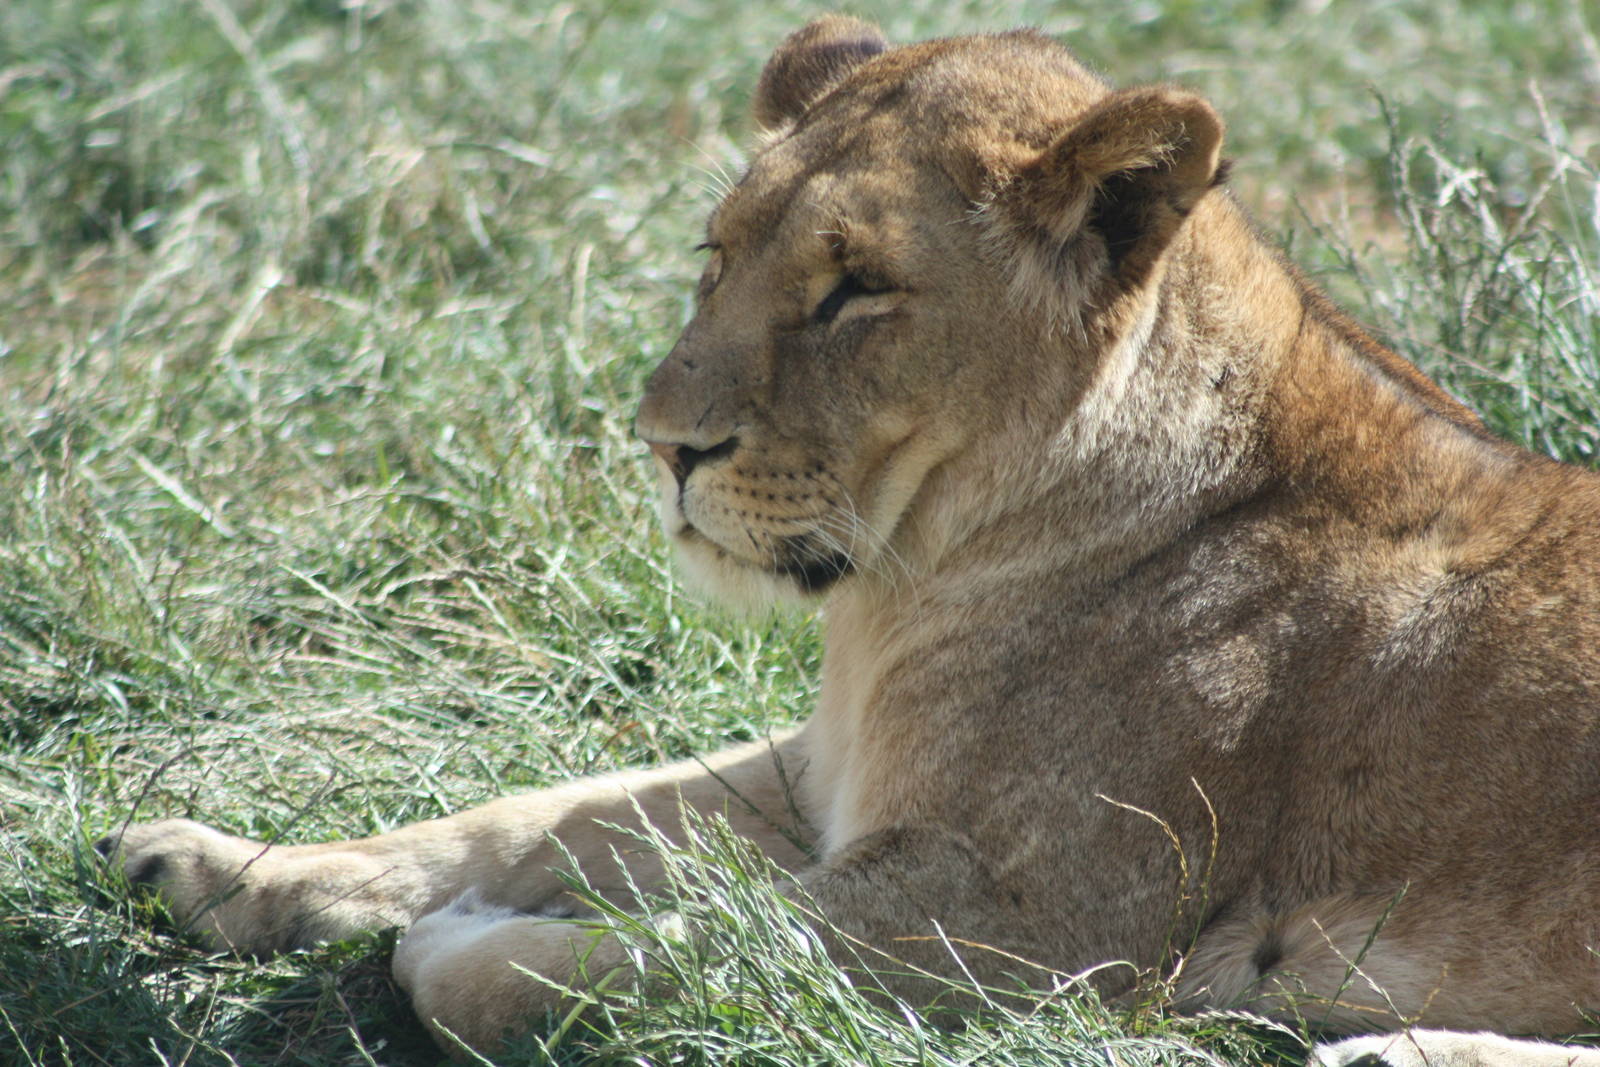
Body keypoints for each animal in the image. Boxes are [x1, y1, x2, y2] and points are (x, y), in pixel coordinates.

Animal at [101, 17, 1600, 1065]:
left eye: (854, 289)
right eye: (716, 254)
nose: (663, 441)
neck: (900, 585)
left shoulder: (1027, 925)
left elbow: (660, 948)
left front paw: (459, 943)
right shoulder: (826, 773)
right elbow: (544, 811)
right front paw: (223, 867)